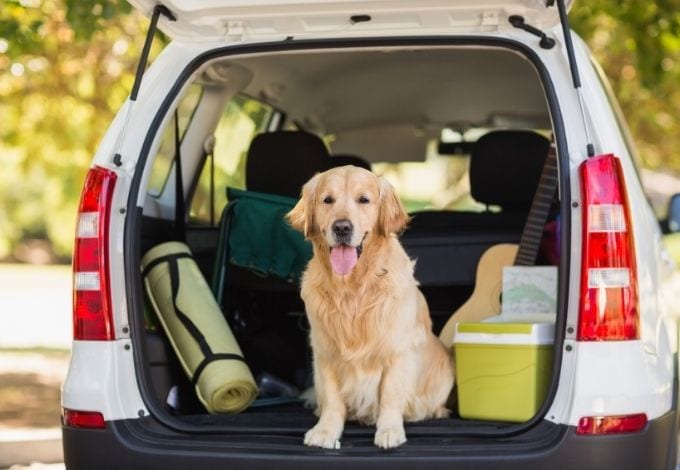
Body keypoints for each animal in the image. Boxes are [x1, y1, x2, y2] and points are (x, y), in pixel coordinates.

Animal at [284, 164, 454, 448]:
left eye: (364, 200)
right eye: (327, 200)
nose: (342, 227)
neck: (352, 287)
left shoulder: (397, 350)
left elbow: (391, 395)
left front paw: (389, 430)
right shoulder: (324, 350)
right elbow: (332, 398)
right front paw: (326, 431)